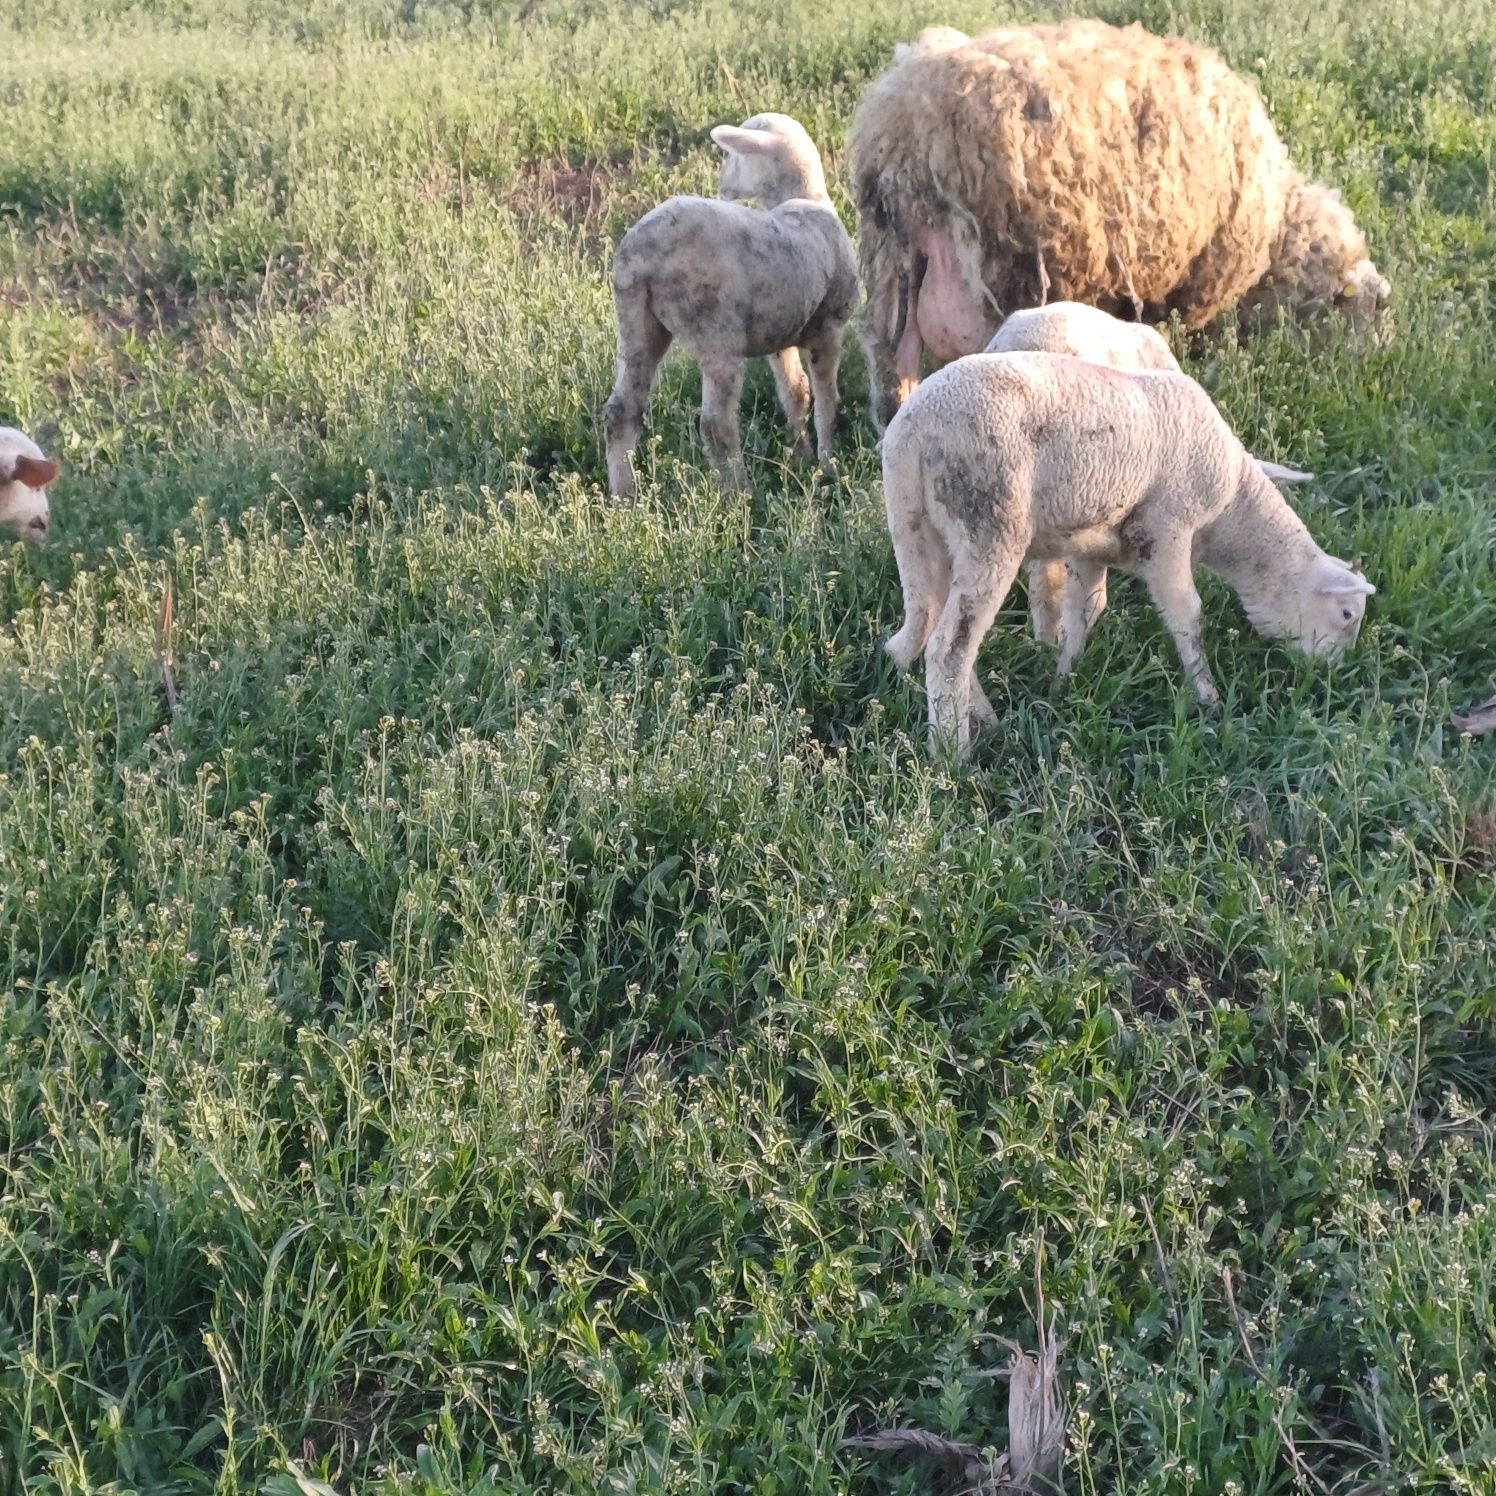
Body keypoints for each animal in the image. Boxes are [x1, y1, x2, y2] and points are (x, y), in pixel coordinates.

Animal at [595, 113, 855, 496]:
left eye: (733, 157)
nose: (721, 185)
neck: (805, 199)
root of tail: (641, 252)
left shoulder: (780, 334)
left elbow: (796, 393)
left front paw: (802, 456)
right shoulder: (829, 326)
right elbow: (826, 402)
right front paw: (828, 464)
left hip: (636, 320)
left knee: (621, 411)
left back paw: (624, 497)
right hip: (715, 328)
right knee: (716, 424)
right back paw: (740, 494)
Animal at [855, 20, 1388, 427]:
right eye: (1359, 314)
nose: (1375, 364)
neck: (1278, 234)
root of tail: (909, 123)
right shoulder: (1192, 287)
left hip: (891, 263)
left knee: (887, 358)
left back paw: (892, 421)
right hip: (1001, 275)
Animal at [873, 354, 1376, 759]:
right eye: (1347, 614)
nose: (1331, 677)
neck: (1231, 512)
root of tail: (913, 425)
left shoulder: (1090, 547)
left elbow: (1085, 610)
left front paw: (1064, 678)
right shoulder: (1169, 529)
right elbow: (1187, 615)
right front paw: (1209, 698)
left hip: (916, 526)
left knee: (928, 622)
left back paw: (983, 719)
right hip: (988, 520)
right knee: (950, 648)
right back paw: (953, 757)